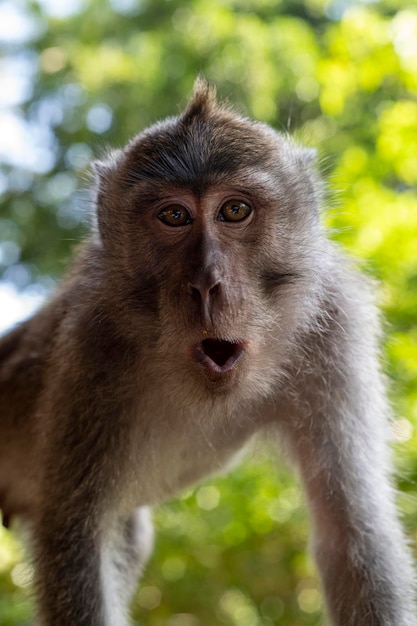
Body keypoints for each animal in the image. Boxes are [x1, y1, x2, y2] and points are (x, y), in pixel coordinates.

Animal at [0, 79, 416, 624]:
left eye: (235, 210)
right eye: (174, 216)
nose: (207, 284)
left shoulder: (335, 325)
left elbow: (352, 533)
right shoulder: (91, 346)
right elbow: (77, 537)